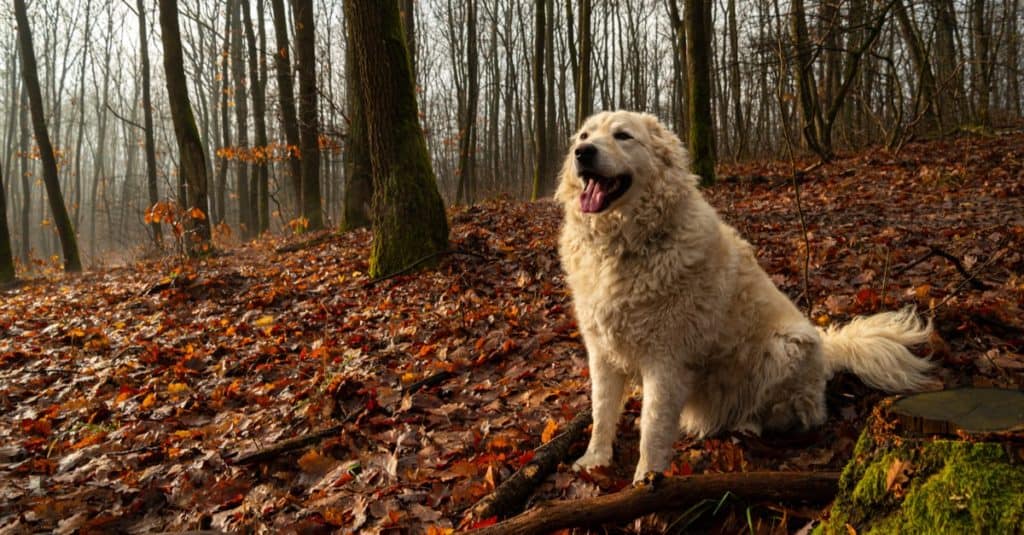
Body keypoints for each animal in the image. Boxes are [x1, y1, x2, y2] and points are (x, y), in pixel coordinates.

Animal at [557, 109, 933, 479]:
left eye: (622, 135)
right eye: (585, 136)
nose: (582, 153)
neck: (623, 246)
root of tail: (827, 350)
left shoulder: (665, 360)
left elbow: (653, 427)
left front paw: (646, 479)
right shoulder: (601, 351)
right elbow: (601, 412)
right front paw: (595, 461)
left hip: (783, 348)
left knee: (795, 412)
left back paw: (749, 425)